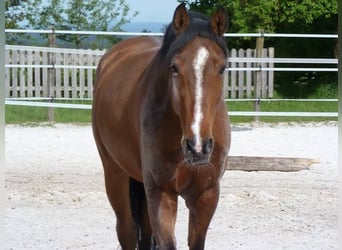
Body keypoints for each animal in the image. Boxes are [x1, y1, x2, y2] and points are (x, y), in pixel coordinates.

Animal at [93, 3, 231, 250]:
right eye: (174, 67)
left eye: (222, 68)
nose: (197, 147)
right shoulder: (162, 193)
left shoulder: (206, 195)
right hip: (114, 173)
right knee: (127, 230)